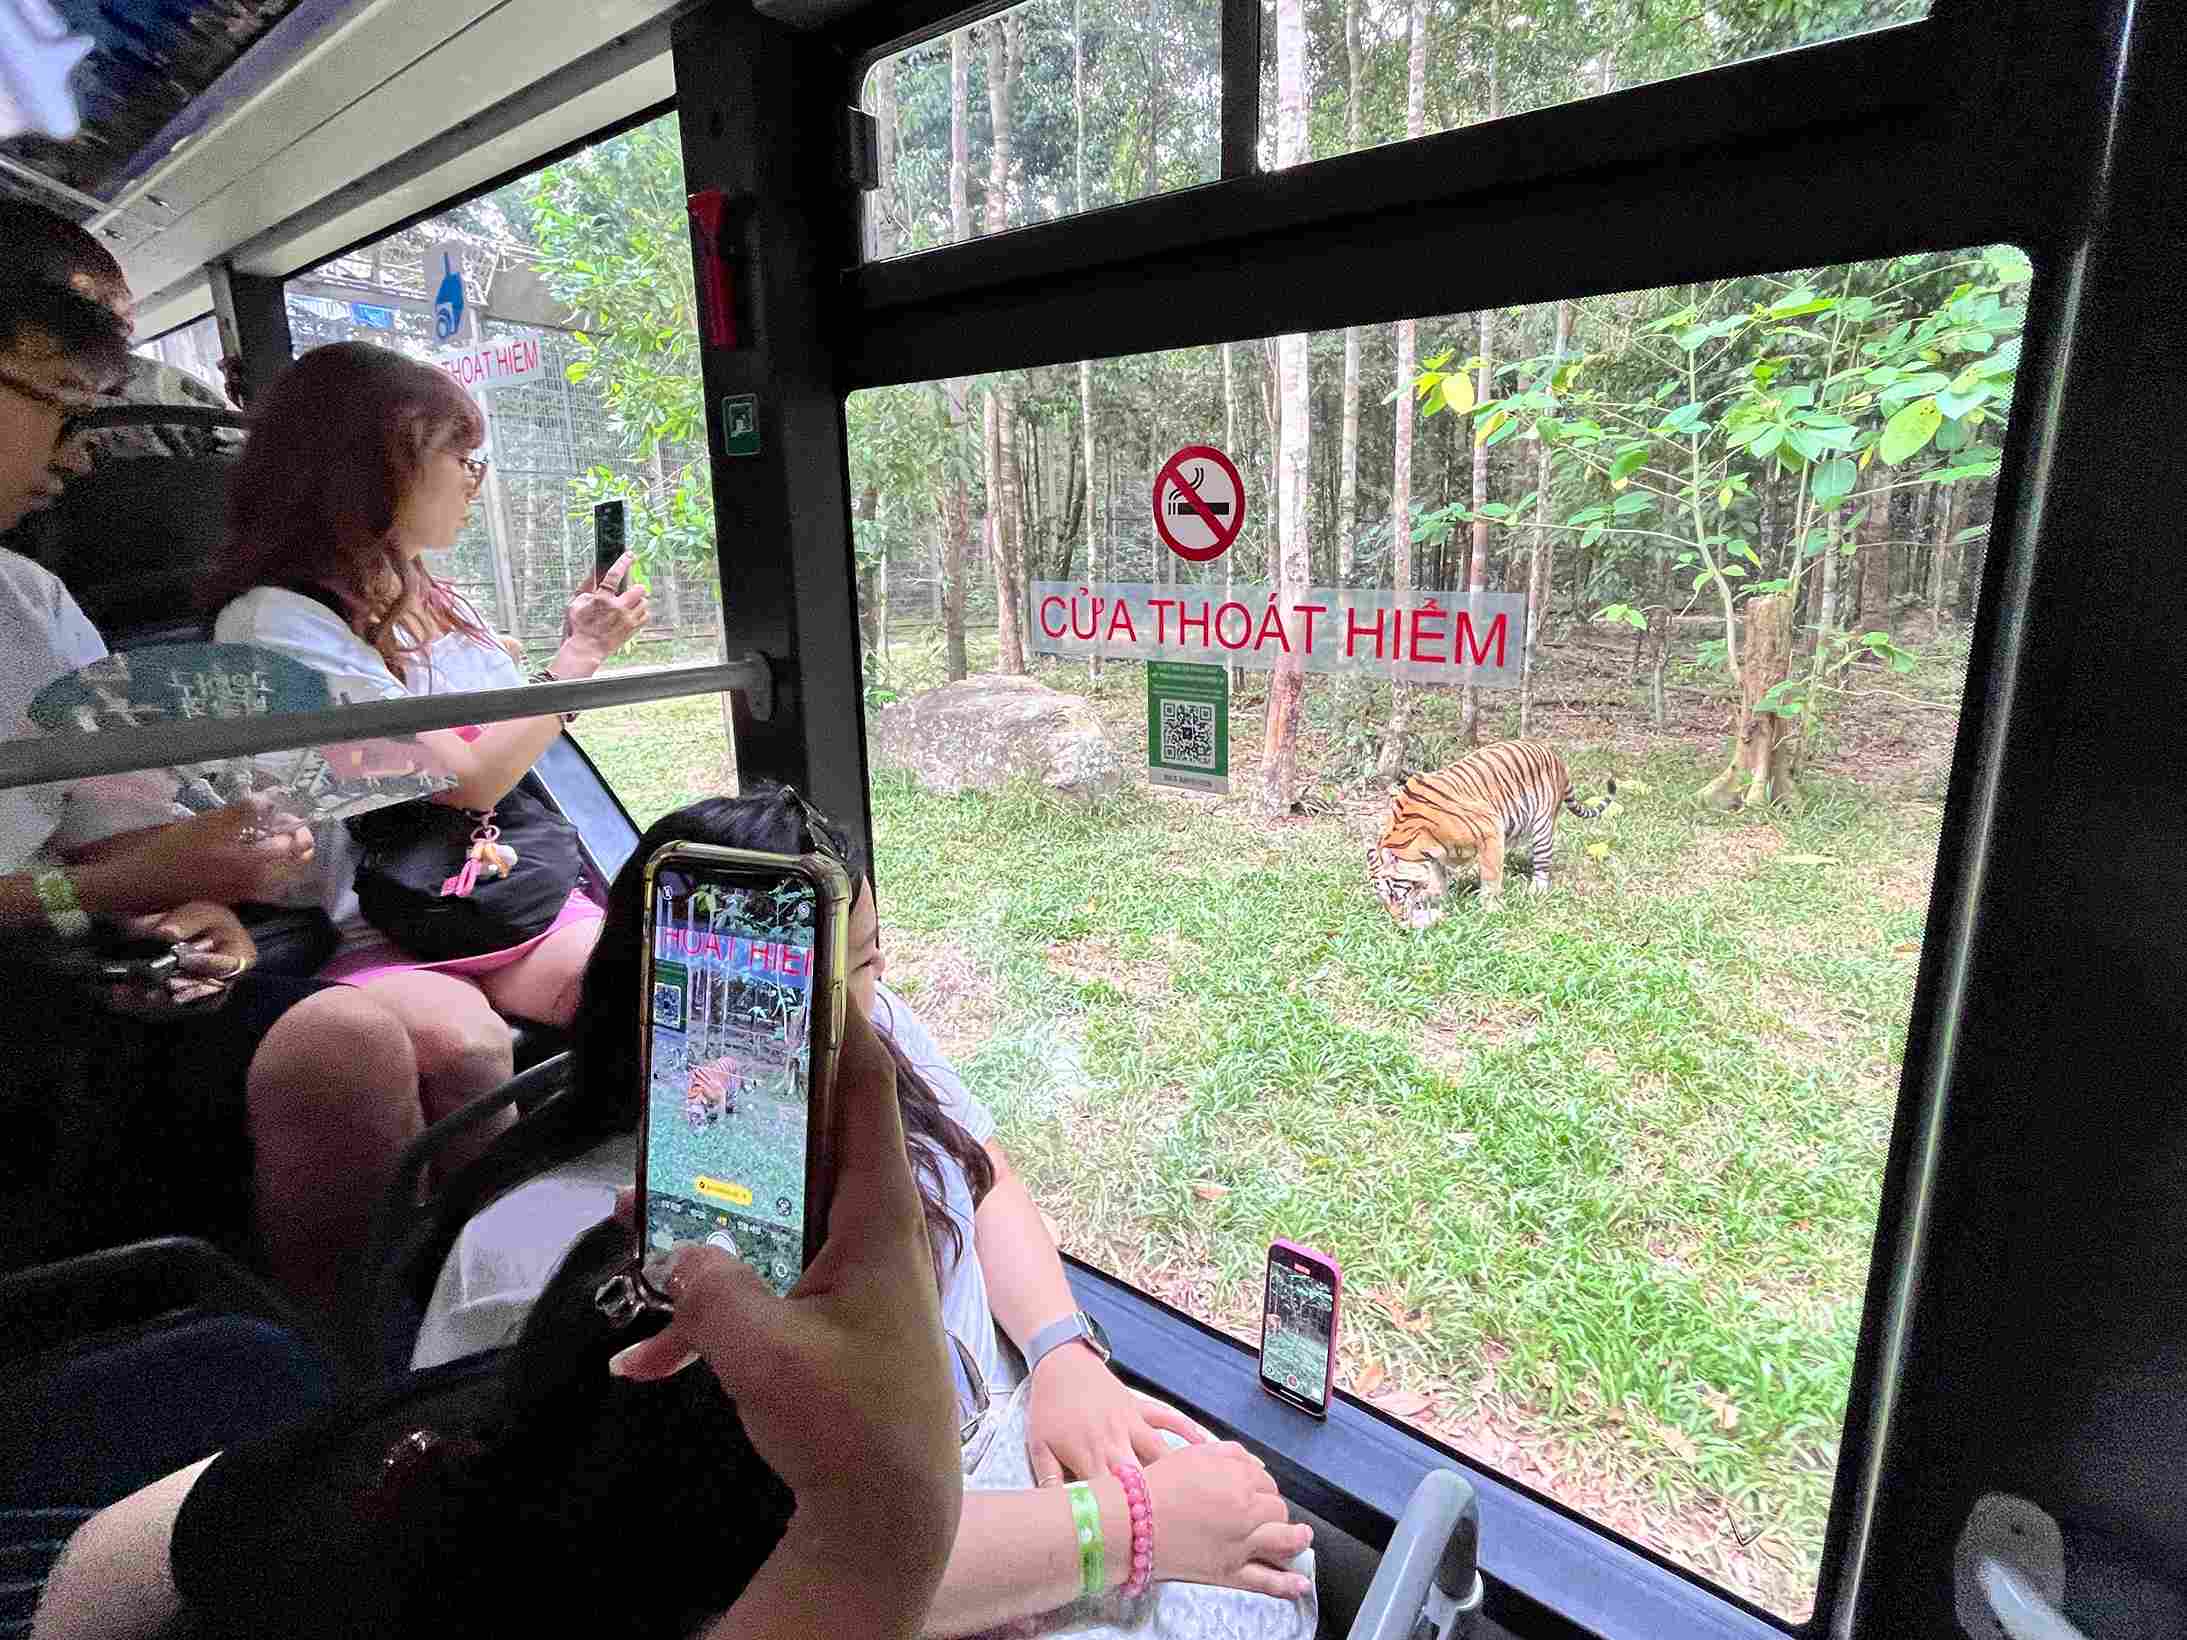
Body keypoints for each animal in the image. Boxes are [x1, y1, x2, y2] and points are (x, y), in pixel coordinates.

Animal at [1355, 743, 1618, 931]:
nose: (1398, 920)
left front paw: (1490, 908)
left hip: (1542, 825)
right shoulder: (1437, 855)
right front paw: (1437, 896)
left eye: (1392, 893)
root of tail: (1553, 755)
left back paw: (1537, 888)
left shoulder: (1490, 828)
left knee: (1543, 861)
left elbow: (1491, 875)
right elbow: (1439, 874)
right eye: (1382, 898)